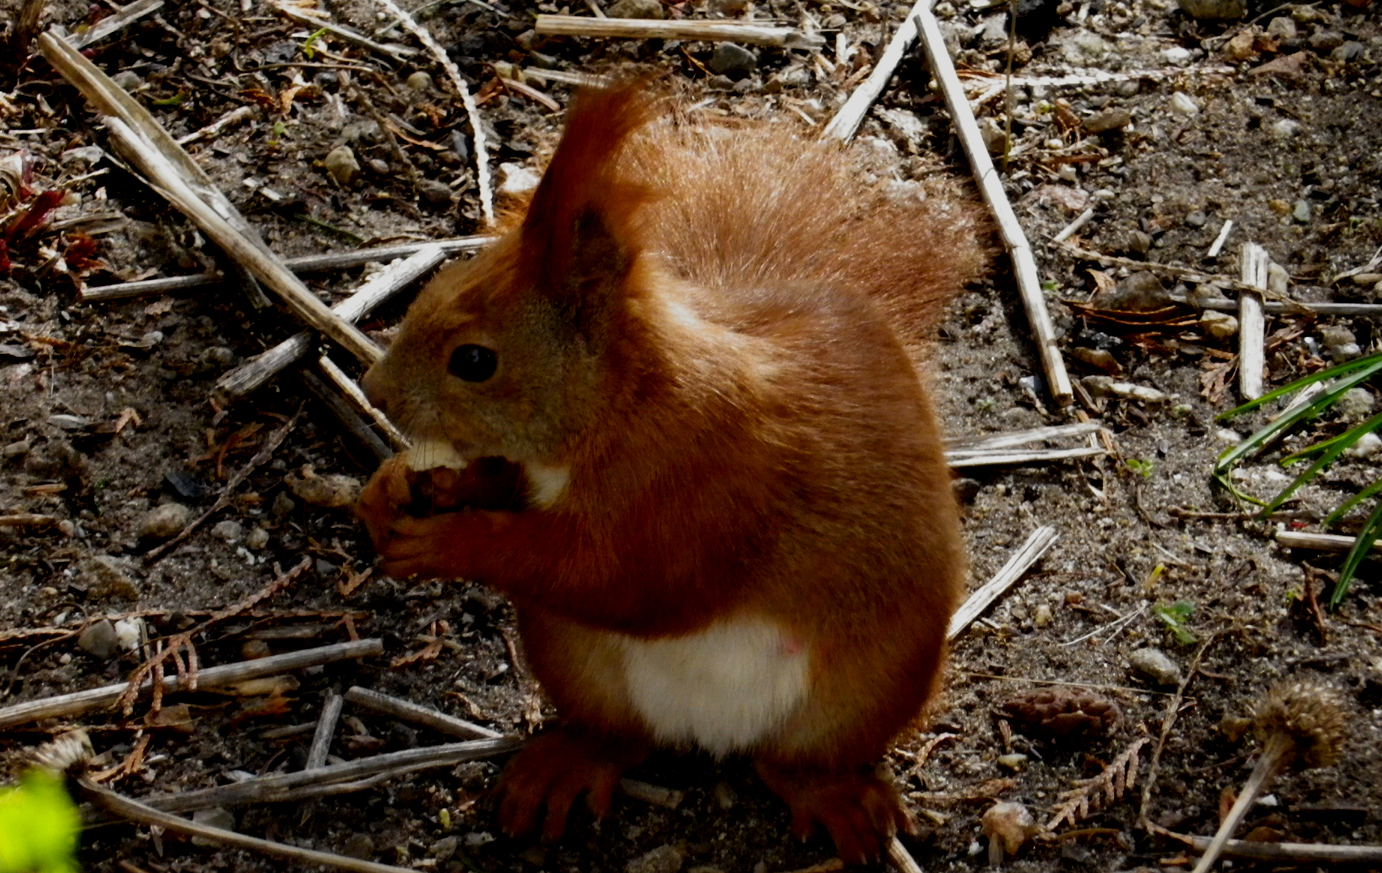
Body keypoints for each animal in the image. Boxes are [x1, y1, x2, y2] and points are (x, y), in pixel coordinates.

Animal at [353, 85, 983, 861]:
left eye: (474, 360)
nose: (374, 390)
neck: (620, 410)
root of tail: (709, 733)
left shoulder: (706, 483)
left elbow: (623, 580)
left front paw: (449, 540)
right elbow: (508, 492)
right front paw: (407, 488)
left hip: (869, 688)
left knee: (793, 761)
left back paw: (834, 796)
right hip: (577, 664)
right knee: (621, 738)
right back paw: (568, 766)